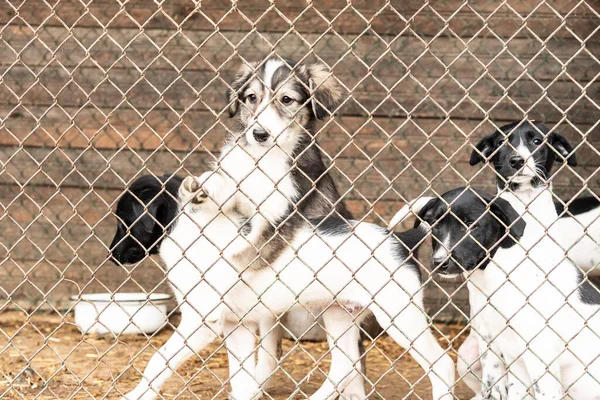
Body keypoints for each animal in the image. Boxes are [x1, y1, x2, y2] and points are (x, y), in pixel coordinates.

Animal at [123, 57, 454, 400]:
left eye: (286, 100)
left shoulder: (206, 315)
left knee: (440, 363)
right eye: (251, 98)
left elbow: (159, 360)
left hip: (399, 314)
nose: (259, 133)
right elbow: (240, 379)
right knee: (344, 365)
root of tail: (403, 238)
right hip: (339, 313)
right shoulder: (236, 323)